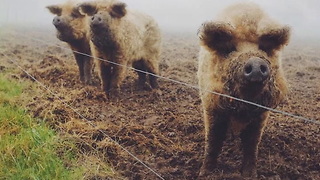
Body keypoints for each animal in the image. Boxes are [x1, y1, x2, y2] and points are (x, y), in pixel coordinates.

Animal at [198, 2, 290, 178]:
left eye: (263, 48)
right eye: (229, 49)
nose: (255, 63)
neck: (244, 104)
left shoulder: (261, 114)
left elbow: (251, 144)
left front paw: (250, 175)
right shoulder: (211, 105)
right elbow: (213, 140)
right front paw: (204, 174)